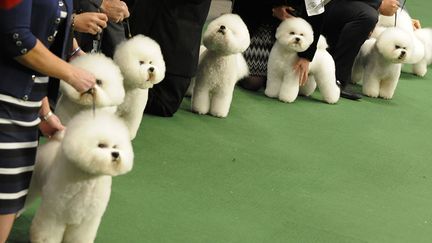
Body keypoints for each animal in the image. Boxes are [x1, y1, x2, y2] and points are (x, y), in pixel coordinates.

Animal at [28, 110, 133, 243]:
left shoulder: (87, 220)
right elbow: (48, 233)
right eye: (101, 145)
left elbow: (80, 235)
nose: (116, 154)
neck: (88, 180)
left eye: (115, 146)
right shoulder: (54, 213)